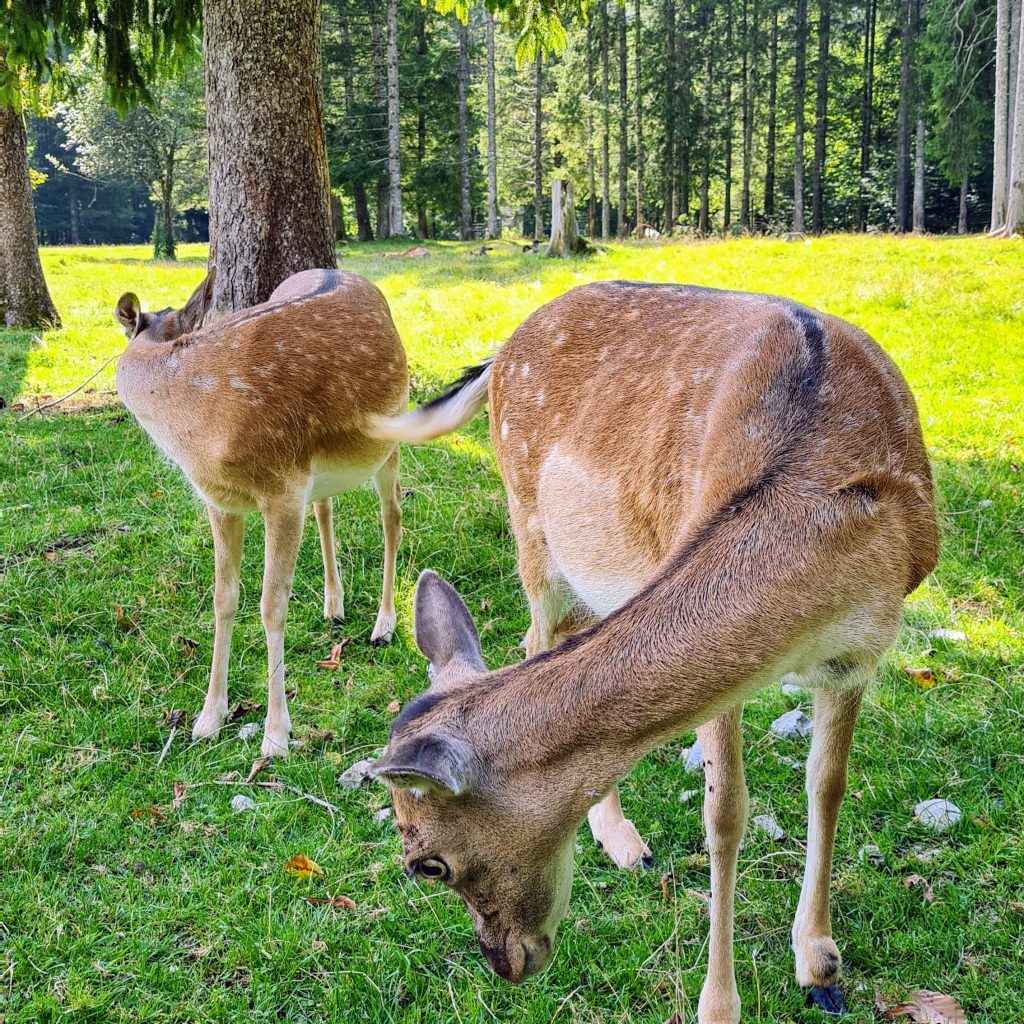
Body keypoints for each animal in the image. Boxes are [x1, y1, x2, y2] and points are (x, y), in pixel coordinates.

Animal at [115, 268, 407, 757]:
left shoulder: (282, 488)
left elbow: (272, 605)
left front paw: (276, 735)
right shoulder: (220, 502)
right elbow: (223, 598)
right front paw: (207, 719)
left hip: (391, 435)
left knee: (393, 516)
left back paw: (383, 624)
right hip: (320, 472)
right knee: (326, 507)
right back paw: (334, 605)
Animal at [366, 282, 937, 1024]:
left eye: (427, 863)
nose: (505, 964)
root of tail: (506, 345)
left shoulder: (859, 655)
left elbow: (826, 786)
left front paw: (819, 966)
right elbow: (725, 815)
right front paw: (720, 1006)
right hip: (531, 522)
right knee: (535, 636)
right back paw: (621, 841)